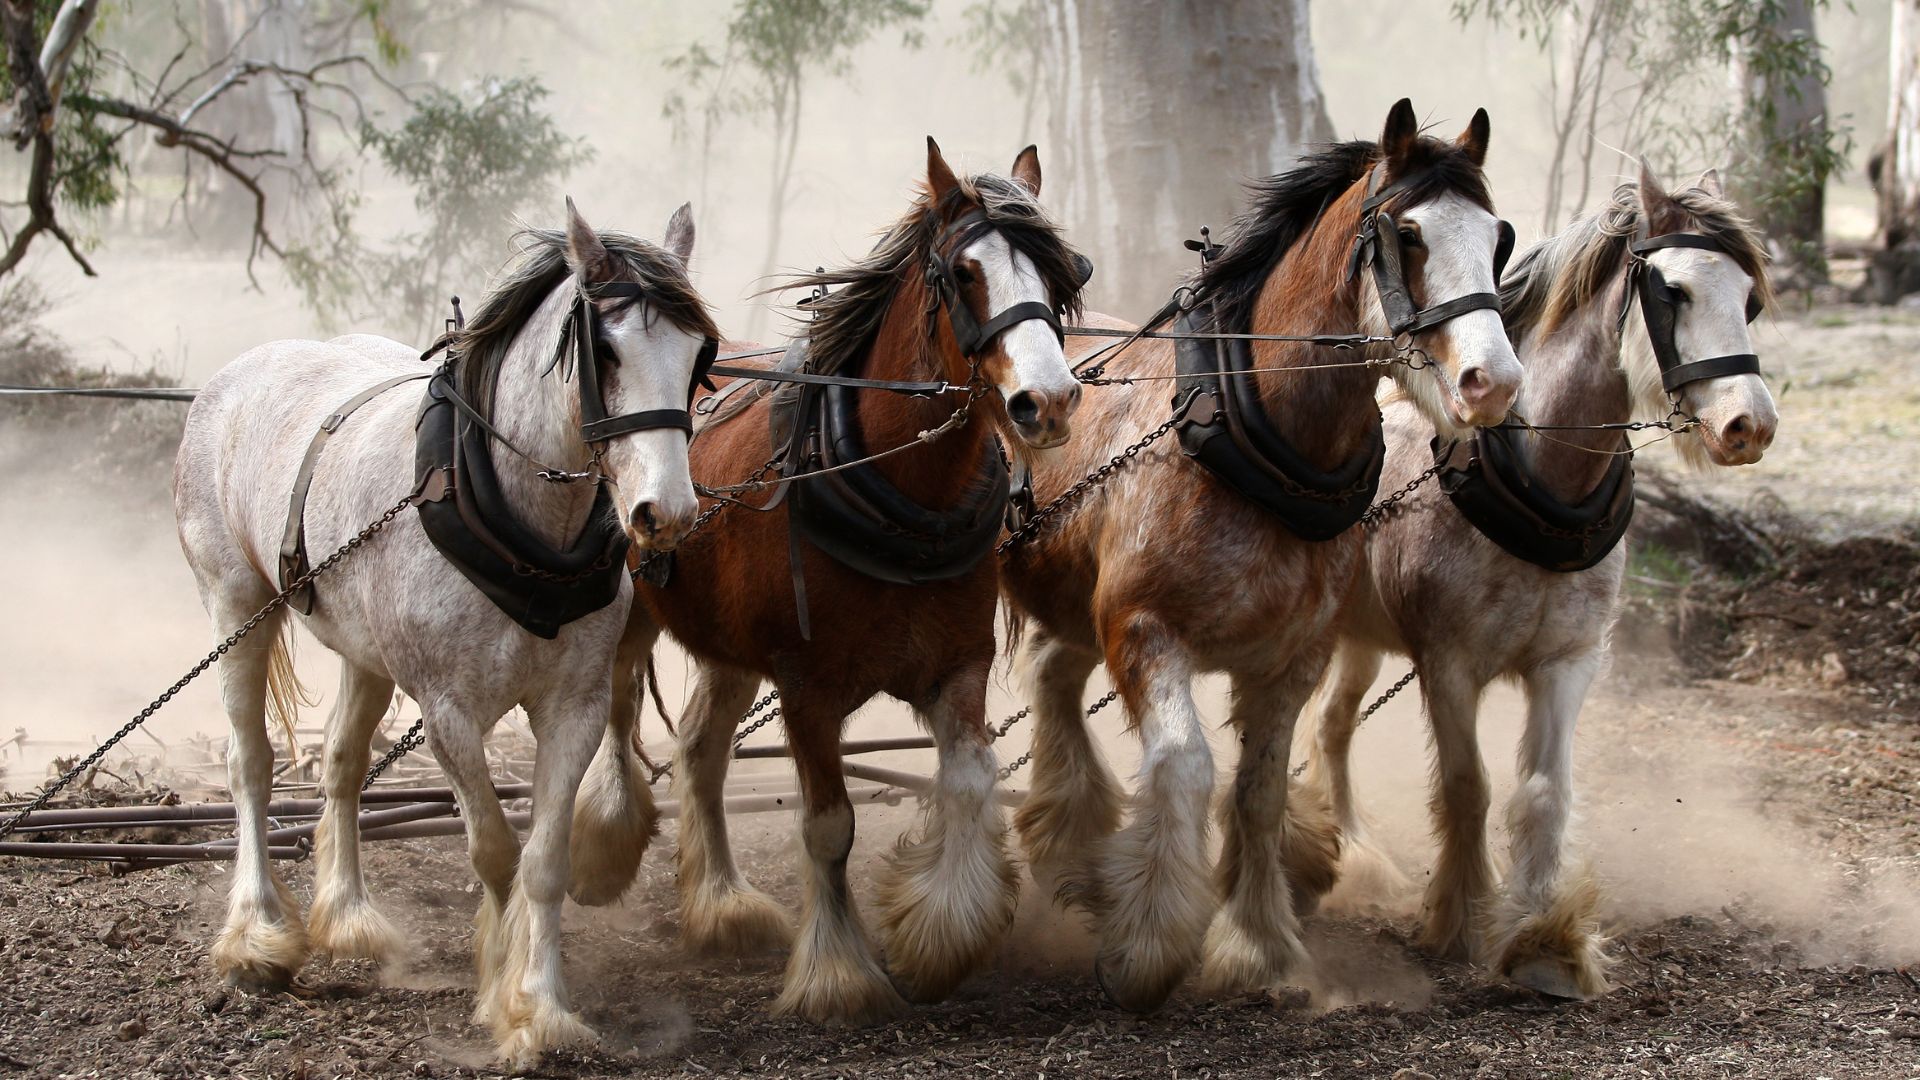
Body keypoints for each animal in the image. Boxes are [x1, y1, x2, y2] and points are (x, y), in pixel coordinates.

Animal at [172, 202, 718, 1069]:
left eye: (699, 355)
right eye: (606, 349)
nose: (664, 513)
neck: (517, 527)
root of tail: (234, 378)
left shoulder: (573, 707)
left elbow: (544, 859)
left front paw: (542, 1006)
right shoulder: (449, 713)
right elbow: (493, 849)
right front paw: (501, 987)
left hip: (363, 654)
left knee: (341, 765)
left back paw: (349, 917)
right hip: (234, 607)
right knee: (250, 766)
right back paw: (257, 934)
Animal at [594, 140, 1088, 1024]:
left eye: (1060, 276)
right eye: (963, 272)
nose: (1051, 401)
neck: (901, 493)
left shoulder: (955, 665)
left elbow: (970, 781)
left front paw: (940, 934)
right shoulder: (808, 688)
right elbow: (829, 827)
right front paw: (838, 974)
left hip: (726, 647)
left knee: (700, 750)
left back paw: (720, 903)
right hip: (629, 620)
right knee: (619, 720)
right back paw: (610, 837)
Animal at [996, 99, 1525, 1012]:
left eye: (1498, 238)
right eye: (1408, 234)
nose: (1492, 382)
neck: (1251, 437)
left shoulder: (1292, 656)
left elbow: (1258, 790)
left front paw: (1256, 946)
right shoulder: (1144, 632)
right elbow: (1184, 768)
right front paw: (1151, 942)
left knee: (1052, 679)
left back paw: (1073, 843)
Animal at [1299, 162, 1778, 998]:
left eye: (1749, 298)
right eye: (1675, 291)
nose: (1750, 425)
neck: (1540, 487)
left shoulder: (1568, 662)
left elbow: (1543, 793)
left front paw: (1542, 938)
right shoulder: (1450, 666)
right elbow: (1469, 787)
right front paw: (1461, 919)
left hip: (1363, 637)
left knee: (1331, 727)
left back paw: (1359, 851)